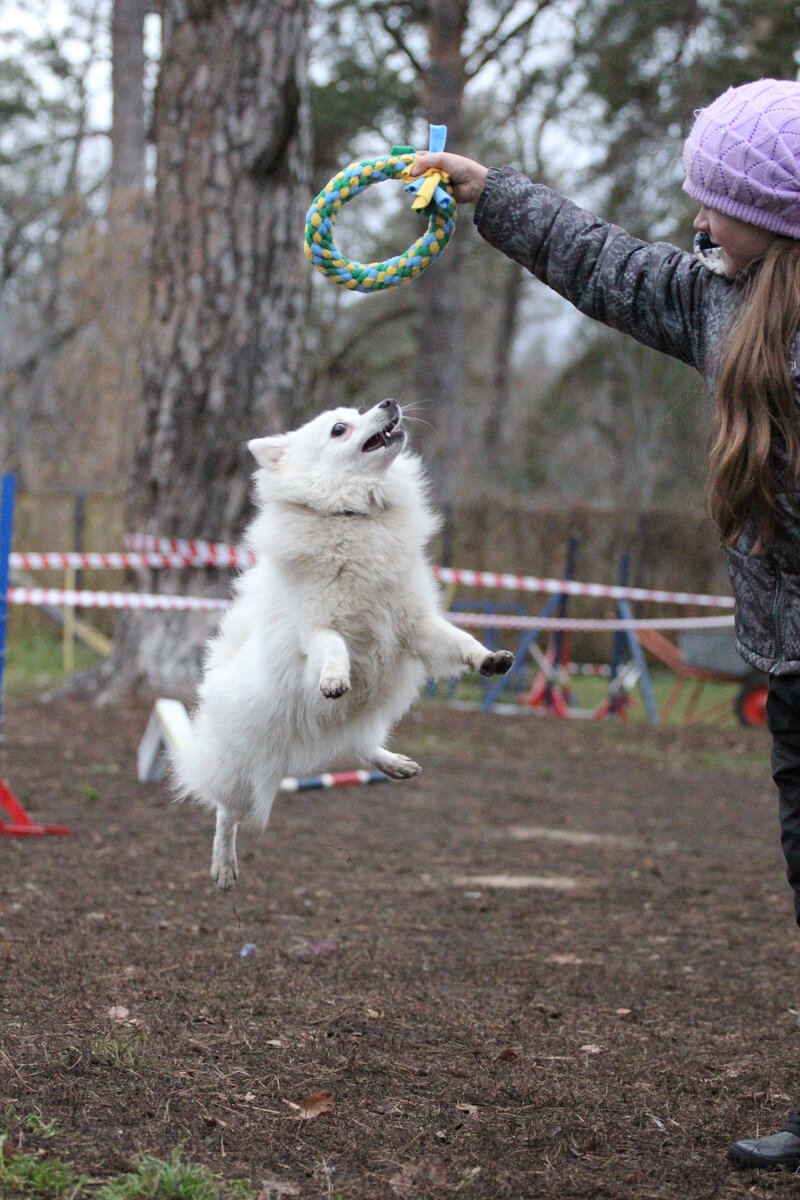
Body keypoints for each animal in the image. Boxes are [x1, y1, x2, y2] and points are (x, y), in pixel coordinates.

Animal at [172, 400, 515, 892]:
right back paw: (223, 867)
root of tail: (218, 672)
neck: (356, 517)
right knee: (225, 812)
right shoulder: (318, 629)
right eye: (339, 429)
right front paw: (334, 677)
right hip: (241, 769)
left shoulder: (415, 624)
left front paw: (487, 659)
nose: (389, 402)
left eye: (358, 411)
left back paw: (394, 763)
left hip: (354, 722)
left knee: (359, 744)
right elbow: (333, 647)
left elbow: (458, 640)